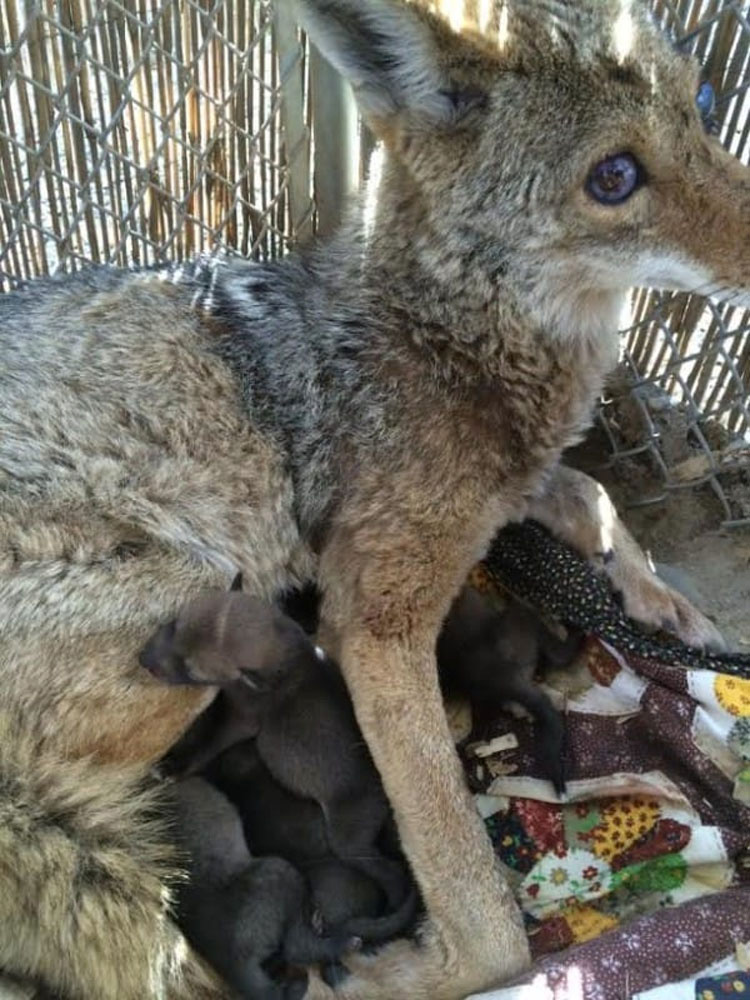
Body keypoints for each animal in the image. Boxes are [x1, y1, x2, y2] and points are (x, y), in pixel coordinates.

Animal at [141, 584, 412, 912]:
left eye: (192, 671)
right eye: (173, 625)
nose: (142, 658)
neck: (284, 653)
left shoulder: (243, 717)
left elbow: (209, 742)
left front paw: (172, 766)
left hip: (349, 832)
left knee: (387, 871)